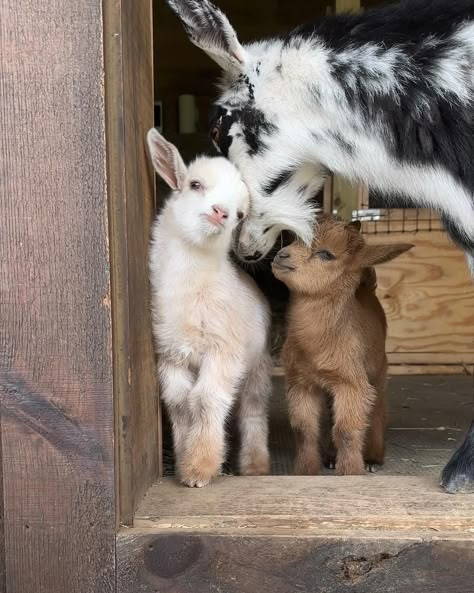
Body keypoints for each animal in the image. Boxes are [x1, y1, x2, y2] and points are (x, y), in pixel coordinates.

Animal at [146, 128, 272, 486]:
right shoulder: (170, 355)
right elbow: (180, 404)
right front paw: (185, 457)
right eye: (195, 184)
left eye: (241, 214)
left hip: (258, 362)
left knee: (253, 409)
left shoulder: (224, 348)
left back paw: (255, 465)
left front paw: (200, 468)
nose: (221, 212)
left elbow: (205, 400)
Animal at [272, 217, 412, 476]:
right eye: (295, 239)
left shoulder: (352, 383)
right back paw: (330, 456)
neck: (316, 345)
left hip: (378, 370)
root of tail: (366, 289)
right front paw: (306, 471)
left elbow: (347, 430)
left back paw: (373, 458)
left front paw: (350, 472)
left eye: (326, 254)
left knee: (378, 408)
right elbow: (305, 429)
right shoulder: (301, 382)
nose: (281, 255)